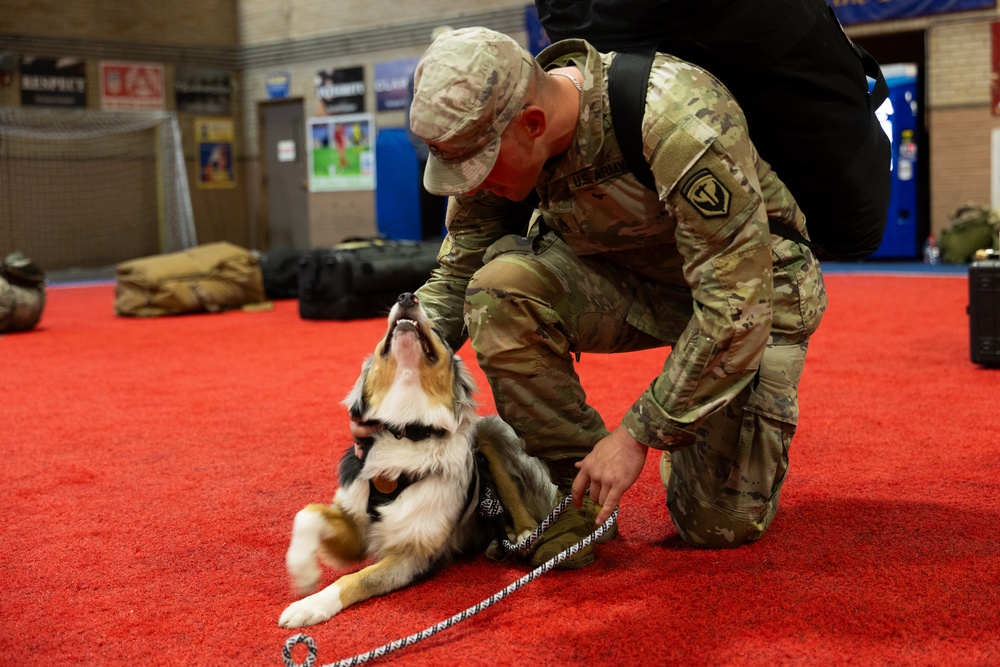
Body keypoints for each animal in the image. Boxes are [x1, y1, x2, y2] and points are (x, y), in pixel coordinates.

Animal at [282, 290, 560, 628]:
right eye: (381, 336)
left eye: (438, 330)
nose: (407, 296)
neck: (406, 430)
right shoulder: (358, 527)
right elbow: (308, 513)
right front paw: (304, 573)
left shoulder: (415, 554)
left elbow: (356, 578)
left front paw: (310, 605)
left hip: (489, 431)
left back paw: (522, 534)